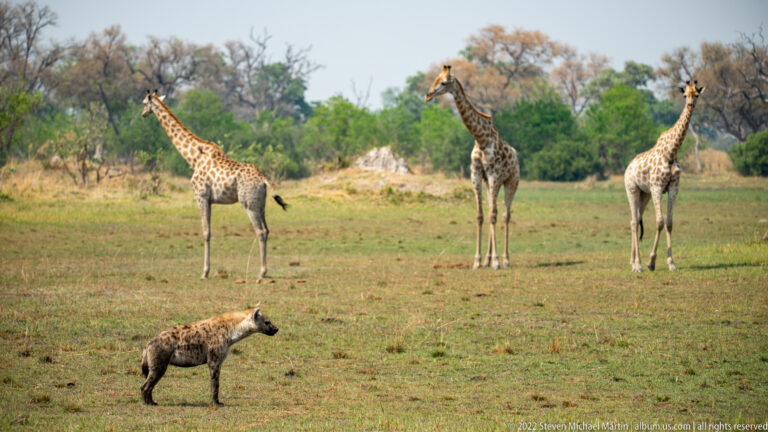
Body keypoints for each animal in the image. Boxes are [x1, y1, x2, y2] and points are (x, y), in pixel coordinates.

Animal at [141, 89, 287, 280]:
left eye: (144, 102)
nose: (142, 114)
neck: (193, 157)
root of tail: (264, 179)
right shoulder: (209, 199)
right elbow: (209, 231)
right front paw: (206, 271)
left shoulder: (201, 195)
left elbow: (205, 232)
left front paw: (204, 273)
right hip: (260, 204)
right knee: (267, 230)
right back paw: (264, 271)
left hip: (249, 203)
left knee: (261, 231)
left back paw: (261, 273)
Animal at [425, 65, 520, 270]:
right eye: (435, 79)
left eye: (444, 82)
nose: (428, 95)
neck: (481, 138)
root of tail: (516, 156)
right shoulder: (476, 176)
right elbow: (481, 216)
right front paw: (477, 260)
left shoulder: (494, 175)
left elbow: (493, 215)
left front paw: (496, 261)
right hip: (492, 184)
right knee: (494, 211)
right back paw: (487, 259)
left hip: (511, 182)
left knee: (505, 215)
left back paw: (506, 259)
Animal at [624, 80, 704, 273]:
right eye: (685, 95)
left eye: (697, 94)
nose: (690, 105)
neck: (671, 152)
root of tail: (628, 167)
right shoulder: (657, 187)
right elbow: (659, 222)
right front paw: (650, 262)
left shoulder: (674, 188)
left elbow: (669, 223)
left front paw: (671, 263)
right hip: (632, 189)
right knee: (634, 222)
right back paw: (637, 265)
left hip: (644, 194)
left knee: (635, 219)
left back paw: (632, 261)